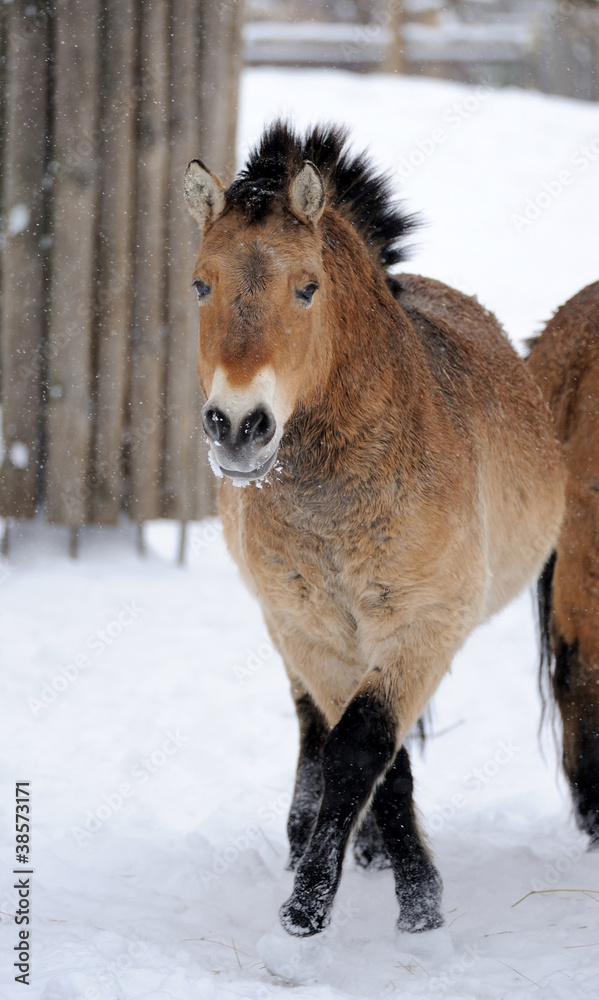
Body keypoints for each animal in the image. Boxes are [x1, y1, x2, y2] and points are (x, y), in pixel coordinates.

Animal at [186, 125, 568, 936]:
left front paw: (403, 902)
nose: (236, 426)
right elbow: (363, 754)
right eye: (201, 285)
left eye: (307, 287)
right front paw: (324, 886)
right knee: (312, 727)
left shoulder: (423, 623)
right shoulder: (313, 631)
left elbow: (363, 748)